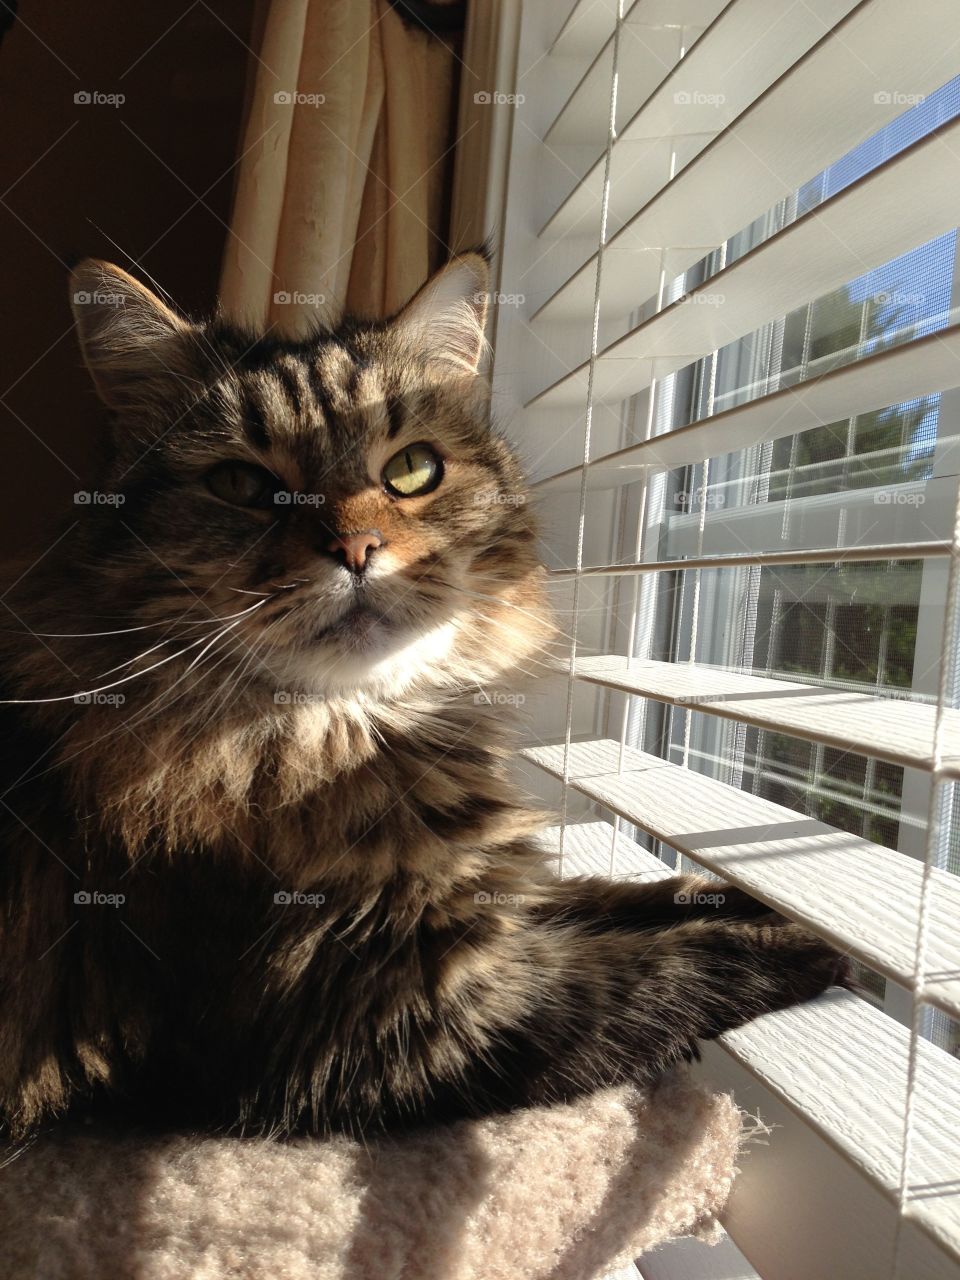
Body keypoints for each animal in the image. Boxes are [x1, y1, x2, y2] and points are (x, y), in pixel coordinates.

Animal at [0, 254, 849, 1136]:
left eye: (411, 471)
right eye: (241, 483)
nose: (356, 548)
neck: (345, 734)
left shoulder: (492, 899)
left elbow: (608, 896)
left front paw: (741, 899)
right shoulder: (392, 1021)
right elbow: (647, 971)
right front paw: (801, 944)